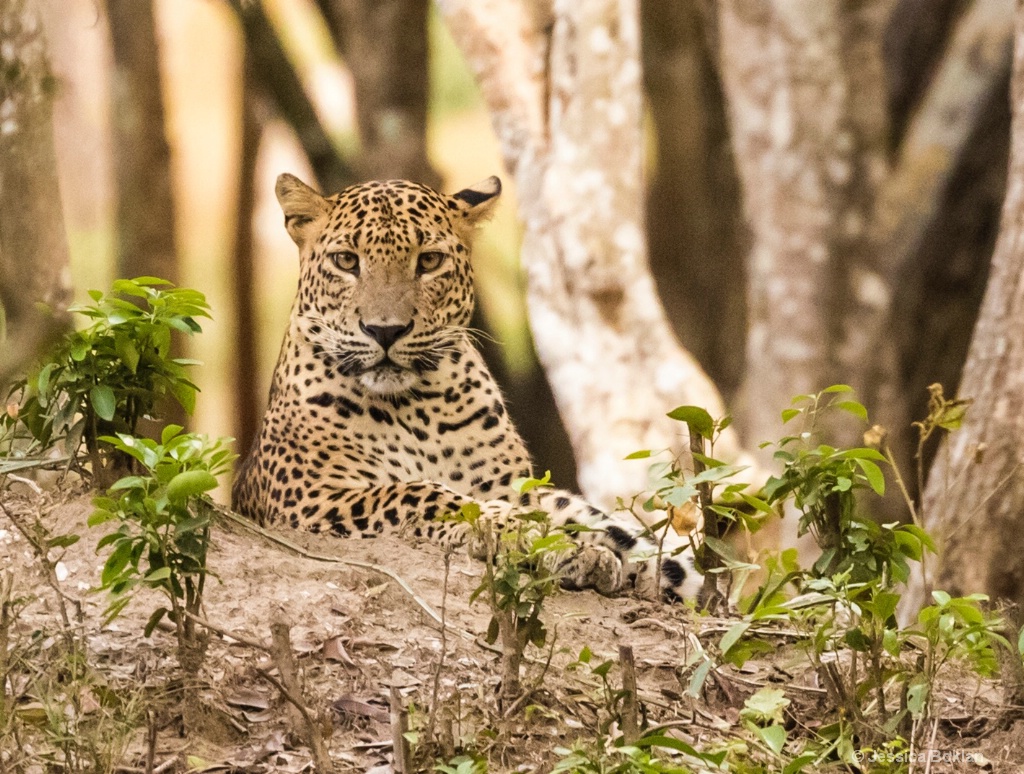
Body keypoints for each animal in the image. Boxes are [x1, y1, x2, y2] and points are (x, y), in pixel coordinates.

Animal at [230, 172, 704, 602]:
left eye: (429, 261)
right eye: (346, 261)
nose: (385, 331)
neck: (413, 407)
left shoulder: (515, 487)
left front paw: (577, 552)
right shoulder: (308, 497)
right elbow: (420, 492)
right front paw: (528, 537)